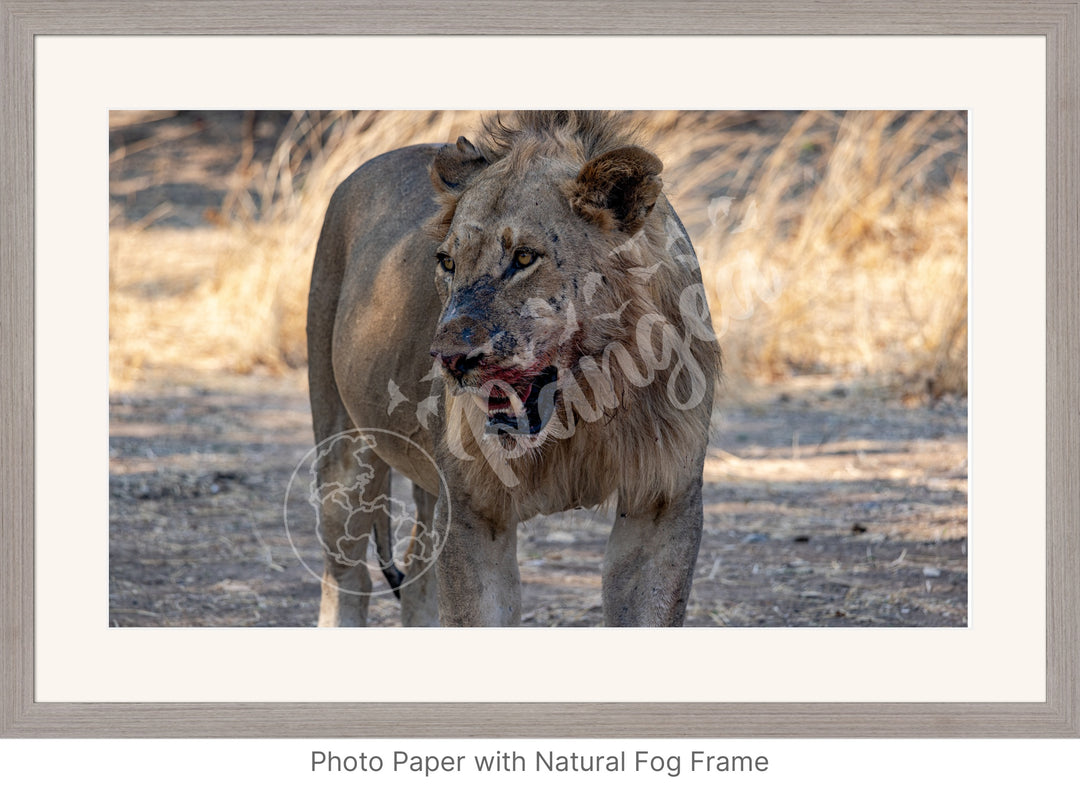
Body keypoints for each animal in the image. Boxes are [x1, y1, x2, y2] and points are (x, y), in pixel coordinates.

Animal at [308, 110, 721, 626]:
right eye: (447, 262)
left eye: (524, 257)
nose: (448, 360)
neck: (584, 408)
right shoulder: (472, 511)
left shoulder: (662, 505)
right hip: (342, 447)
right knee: (346, 578)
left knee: (418, 574)